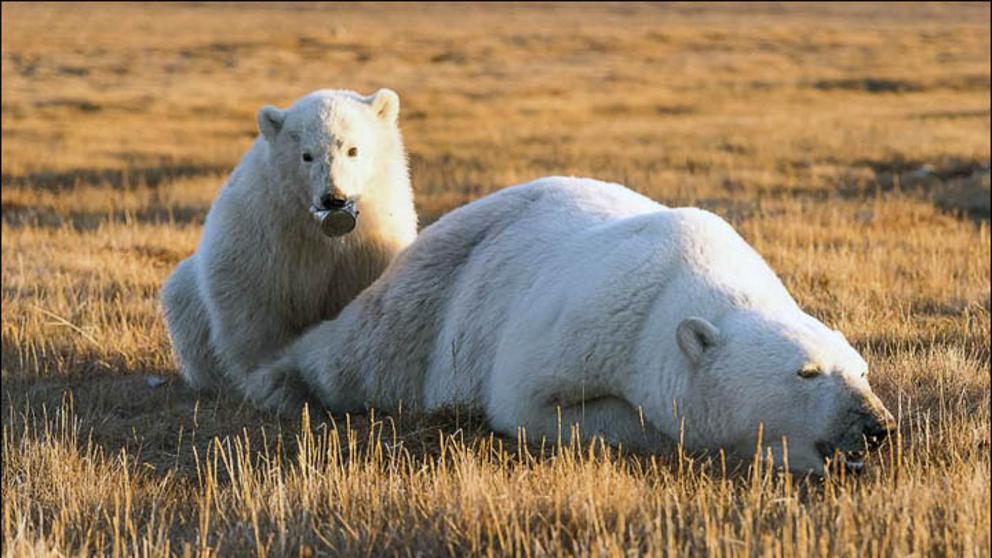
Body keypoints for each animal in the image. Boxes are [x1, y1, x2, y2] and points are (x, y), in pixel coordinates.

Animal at [161, 88, 417, 398]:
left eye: (353, 149)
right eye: (306, 155)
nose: (333, 198)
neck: (320, 231)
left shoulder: (367, 244)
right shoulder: (266, 231)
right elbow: (251, 306)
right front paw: (268, 378)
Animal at [249, 177, 895, 474]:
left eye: (862, 370)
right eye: (807, 372)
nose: (876, 426)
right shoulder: (595, 319)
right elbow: (530, 401)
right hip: (436, 292)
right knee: (361, 352)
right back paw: (280, 381)